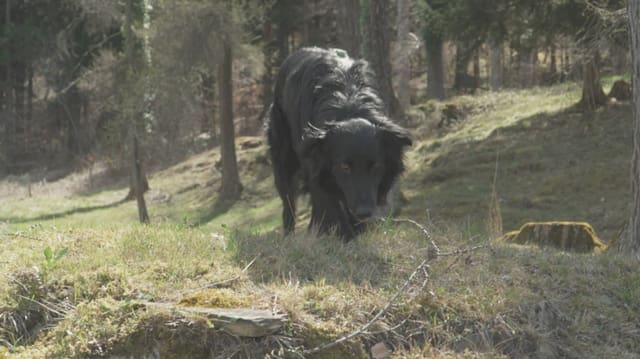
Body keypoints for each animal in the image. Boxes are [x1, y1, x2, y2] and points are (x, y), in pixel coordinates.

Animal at [266, 47, 412, 239]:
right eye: (344, 167)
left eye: (375, 166)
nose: (364, 212)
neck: (348, 103)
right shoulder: (316, 165)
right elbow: (331, 206)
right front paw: (345, 236)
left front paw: (354, 232)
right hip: (283, 158)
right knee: (288, 202)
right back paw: (290, 236)